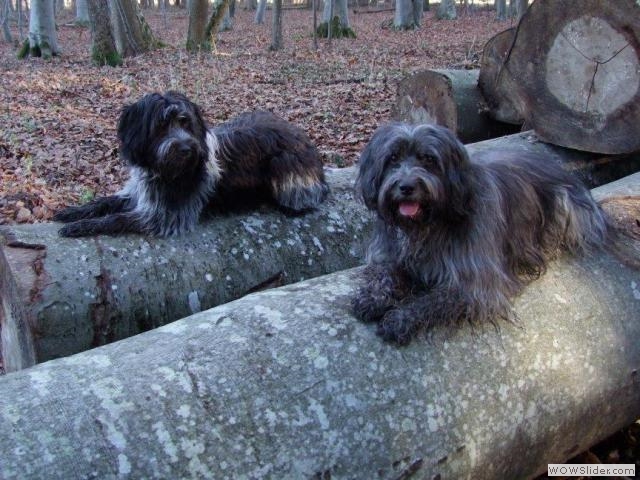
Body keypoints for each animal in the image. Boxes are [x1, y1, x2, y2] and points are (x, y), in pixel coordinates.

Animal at [53, 90, 330, 236]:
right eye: (162, 125)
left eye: (186, 123)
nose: (187, 148)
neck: (160, 169)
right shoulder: (139, 192)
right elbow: (105, 202)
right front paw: (73, 213)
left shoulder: (164, 216)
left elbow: (118, 219)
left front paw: (82, 226)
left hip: (284, 165)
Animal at [352, 122, 608, 344]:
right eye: (392, 158)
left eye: (429, 159)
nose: (406, 187)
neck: (427, 225)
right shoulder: (389, 253)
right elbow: (384, 272)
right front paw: (374, 298)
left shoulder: (476, 286)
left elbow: (432, 300)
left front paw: (400, 318)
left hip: (566, 205)